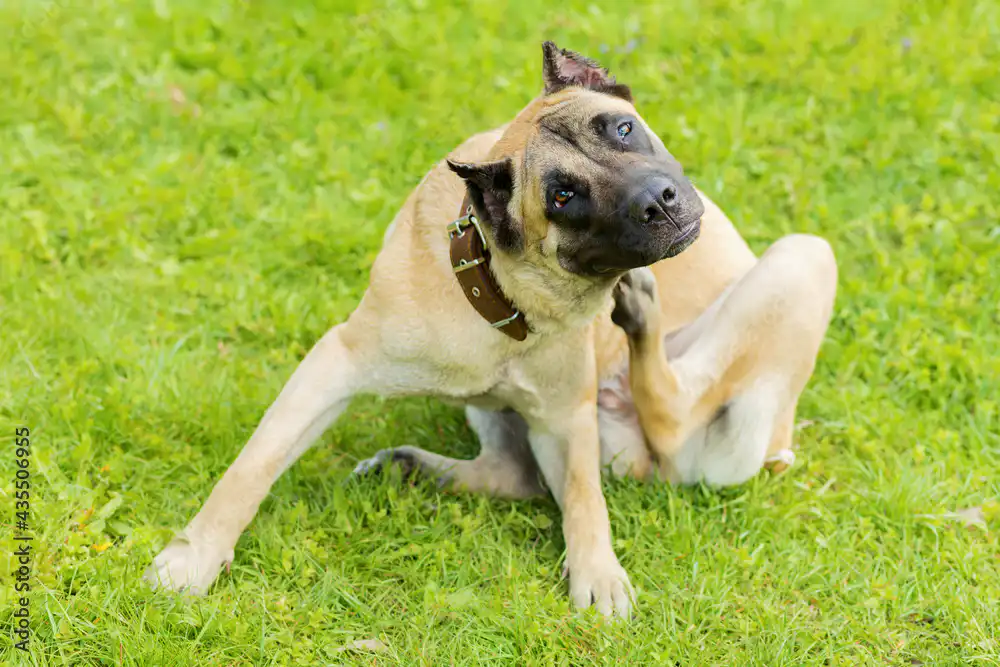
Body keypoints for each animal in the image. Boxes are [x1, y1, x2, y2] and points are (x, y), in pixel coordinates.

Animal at [145, 42, 837, 620]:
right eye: (563, 196)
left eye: (622, 128)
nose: (659, 200)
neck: (506, 292)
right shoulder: (335, 364)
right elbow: (251, 468)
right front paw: (194, 557)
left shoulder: (565, 420)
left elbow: (583, 498)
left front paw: (597, 573)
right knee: (536, 467)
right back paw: (412, 467)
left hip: (801, 259)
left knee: (661, 421)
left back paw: (638, 316)